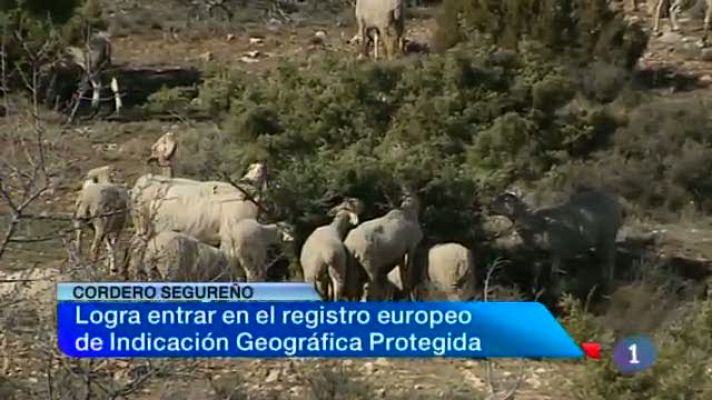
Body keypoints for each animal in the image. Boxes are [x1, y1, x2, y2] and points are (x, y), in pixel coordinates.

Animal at [490, 188, 624, 284]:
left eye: (506, 200)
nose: (489, 204)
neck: (536, 222)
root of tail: (612, 198)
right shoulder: (537, 254)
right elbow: (535, 273)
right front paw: (535, 291)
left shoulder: (557, 251)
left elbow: (553, 273)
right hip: (599, 240)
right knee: (603, 258)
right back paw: (603, 277)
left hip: (609, 235)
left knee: (611, 257)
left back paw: (609, 280)